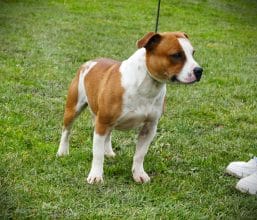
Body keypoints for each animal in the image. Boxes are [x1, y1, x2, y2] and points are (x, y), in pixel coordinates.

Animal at [56, 31, 202, 184]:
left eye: (193, 53)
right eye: (176, 55)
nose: (199, 70)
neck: (146, 85)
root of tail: (89, 62)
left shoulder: (149, 127)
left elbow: (140, 154)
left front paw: (139, 174)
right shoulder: (102, 123)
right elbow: (97, 153)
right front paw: (96, 176)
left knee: (108, 135)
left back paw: (108, 152)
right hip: (74, 108)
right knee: (66, 130)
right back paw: (62, 151)